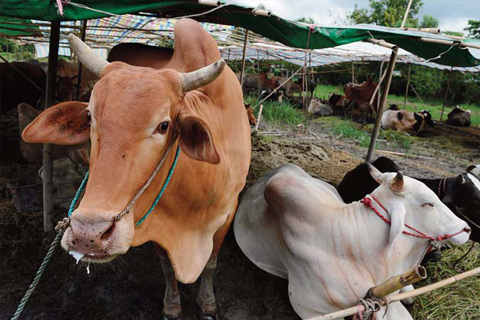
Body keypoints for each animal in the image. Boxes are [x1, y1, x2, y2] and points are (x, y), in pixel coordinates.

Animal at [23, 18, 251, 320]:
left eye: (164, 125)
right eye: (89, 116)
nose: (88, 234)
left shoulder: (228, 213)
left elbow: (211, 263)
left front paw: (207, 304)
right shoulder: (152, 218)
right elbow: (167, 267)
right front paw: (172, 306)